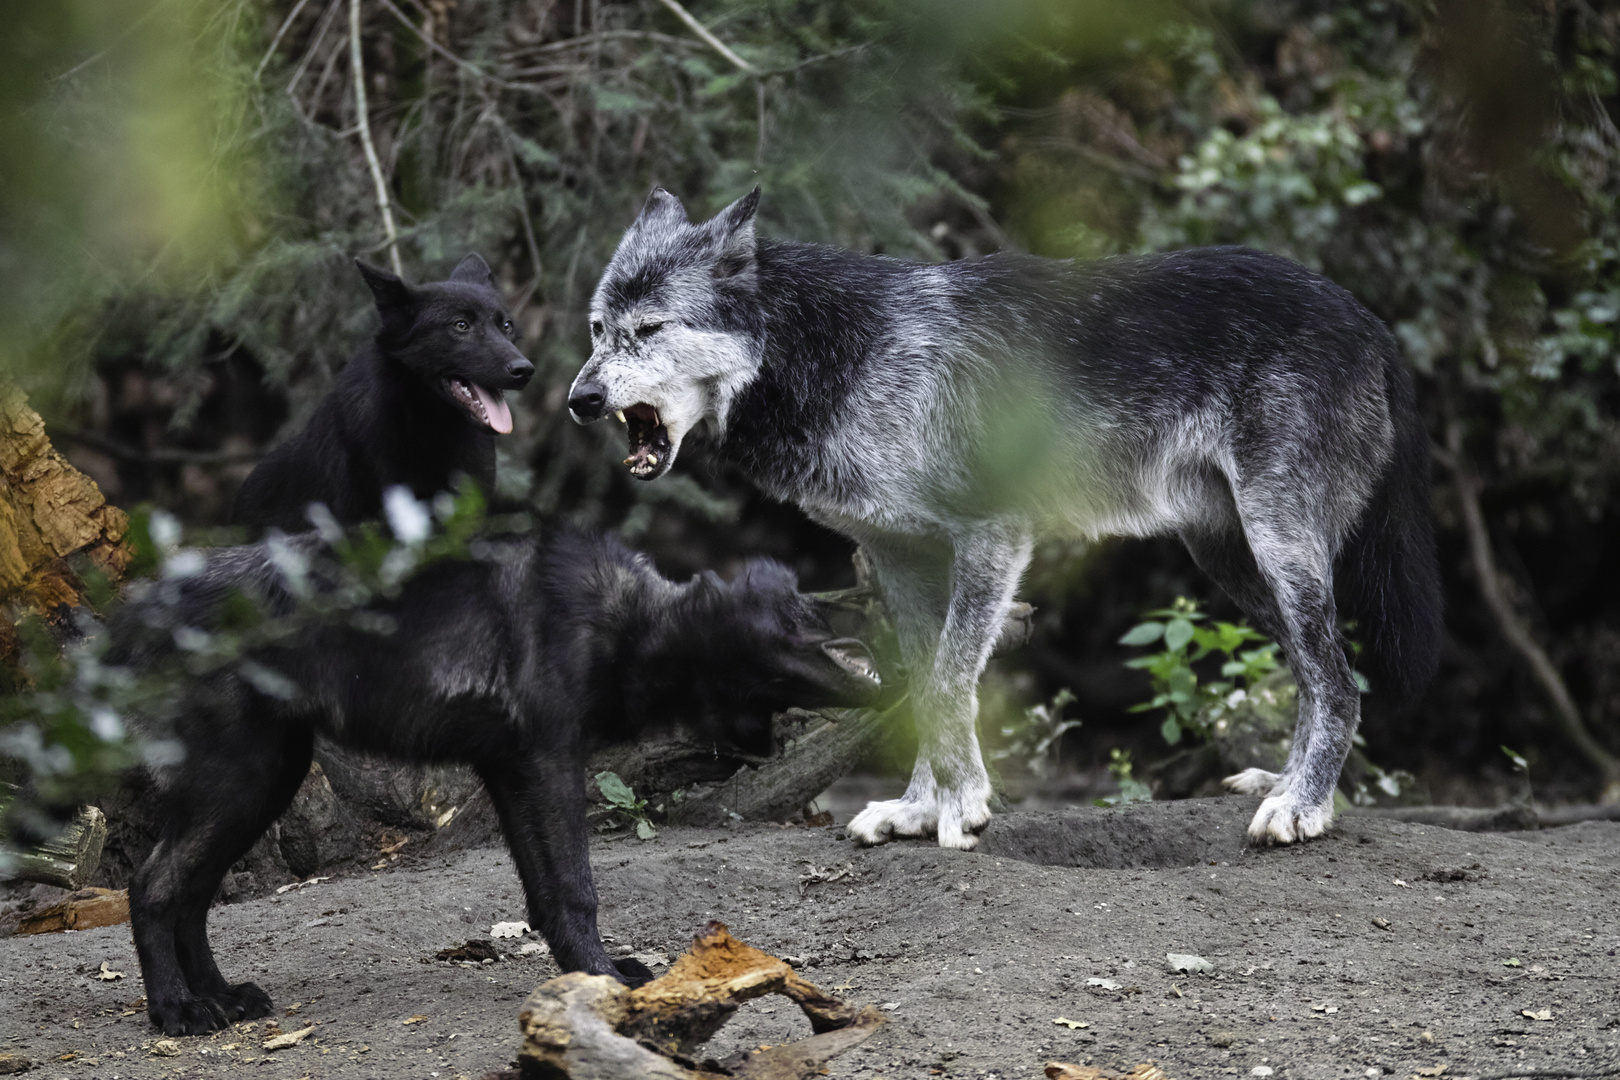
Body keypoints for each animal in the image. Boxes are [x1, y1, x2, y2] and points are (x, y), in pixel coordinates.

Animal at [107, 524, 881, 1036]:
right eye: (810, 604)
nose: (883, 594)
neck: (633, 620)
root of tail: (144, 604)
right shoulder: (551, 760)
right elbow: (576, 889)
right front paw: (604, 980)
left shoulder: (510, 770)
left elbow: (544, 896)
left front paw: (584, 974)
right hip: (243, 782)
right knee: (150, 885)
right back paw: (176, 1011)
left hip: (267, 782)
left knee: (191, 897)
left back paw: (221, 997)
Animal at [567, 190, 1445, 854]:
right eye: (598, 329)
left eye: (650, 329)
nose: (579, 399)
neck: (837, 355)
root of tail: (1367, 319)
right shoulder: (899, 558)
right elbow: (923, 688)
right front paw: (919, 809)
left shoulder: (992, 537)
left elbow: (948, 683)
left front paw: (963, 811)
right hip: (1232, 562)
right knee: (1324, 674)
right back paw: (1292, 787)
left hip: (1277, 549)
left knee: (1338, 677)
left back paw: (1301, 807)